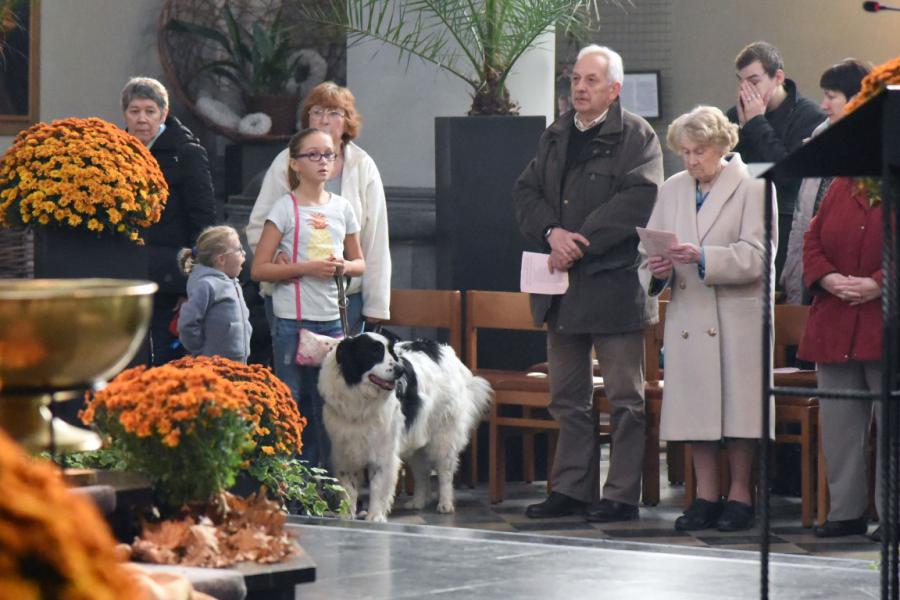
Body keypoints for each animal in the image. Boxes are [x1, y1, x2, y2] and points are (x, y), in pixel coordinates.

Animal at [318, 330, 492, 524]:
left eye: (390, 351)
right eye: (374, 352)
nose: (400, 370)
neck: (360, 400)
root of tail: (445, 351)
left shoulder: (383, 451)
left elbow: (378, 485)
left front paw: (375, 516)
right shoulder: (344, 452)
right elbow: (348, 488)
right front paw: (346, 515)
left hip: (443, 437)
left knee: (445, 472)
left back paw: (445, 504)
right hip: (417, 437)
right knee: (422, 473)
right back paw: (418, 502)